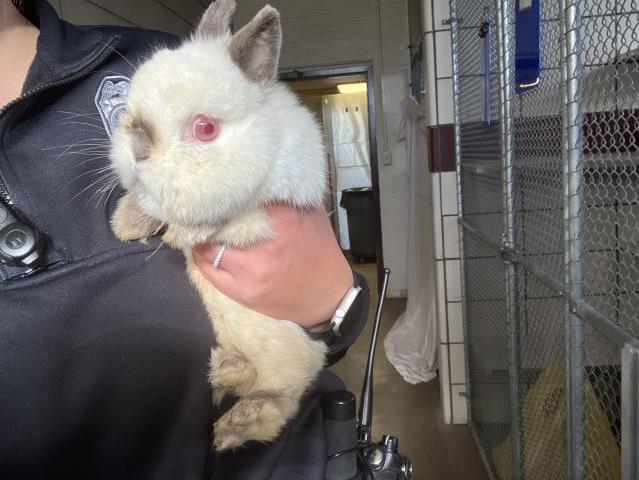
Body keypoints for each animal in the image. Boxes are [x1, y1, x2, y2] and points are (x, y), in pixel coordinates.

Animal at [109, 0, 330, 450]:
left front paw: (180, 233)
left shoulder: (276, 196)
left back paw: (234, 423)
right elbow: (152, 202)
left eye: (206, 128)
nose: (138, 146)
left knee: (278, 406)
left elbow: (230, 214)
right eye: (127, 110)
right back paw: (228, 374)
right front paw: (127, 222)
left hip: (297, 355)